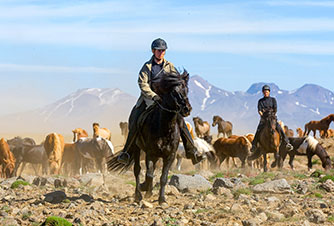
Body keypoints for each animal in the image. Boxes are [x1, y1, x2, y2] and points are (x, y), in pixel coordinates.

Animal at [108, 70, 192, 205]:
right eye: (174, 91)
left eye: (186, 90)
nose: (187, 109)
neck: (164, 128)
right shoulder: (150, 153)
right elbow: (149, 174)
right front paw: (145, 189)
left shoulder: (170, 155)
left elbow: (163, 177)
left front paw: (162, 199)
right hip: (136, 148)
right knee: (137, 170)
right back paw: (138, 194)